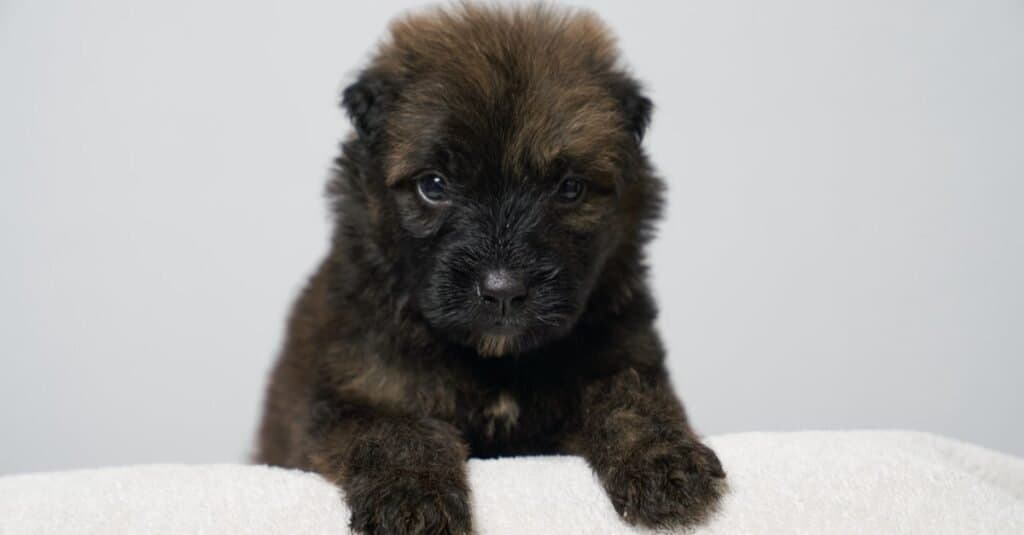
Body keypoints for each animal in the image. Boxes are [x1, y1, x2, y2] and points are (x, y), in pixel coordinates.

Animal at [256, 5, 724, 532]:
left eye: (569, 188)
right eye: (434, 185)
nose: (503, 291)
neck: (496, 362)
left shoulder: (625, 356)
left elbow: (629, 399)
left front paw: (665, 462)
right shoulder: (347, 395)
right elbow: (395, 430)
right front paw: (412, 499)